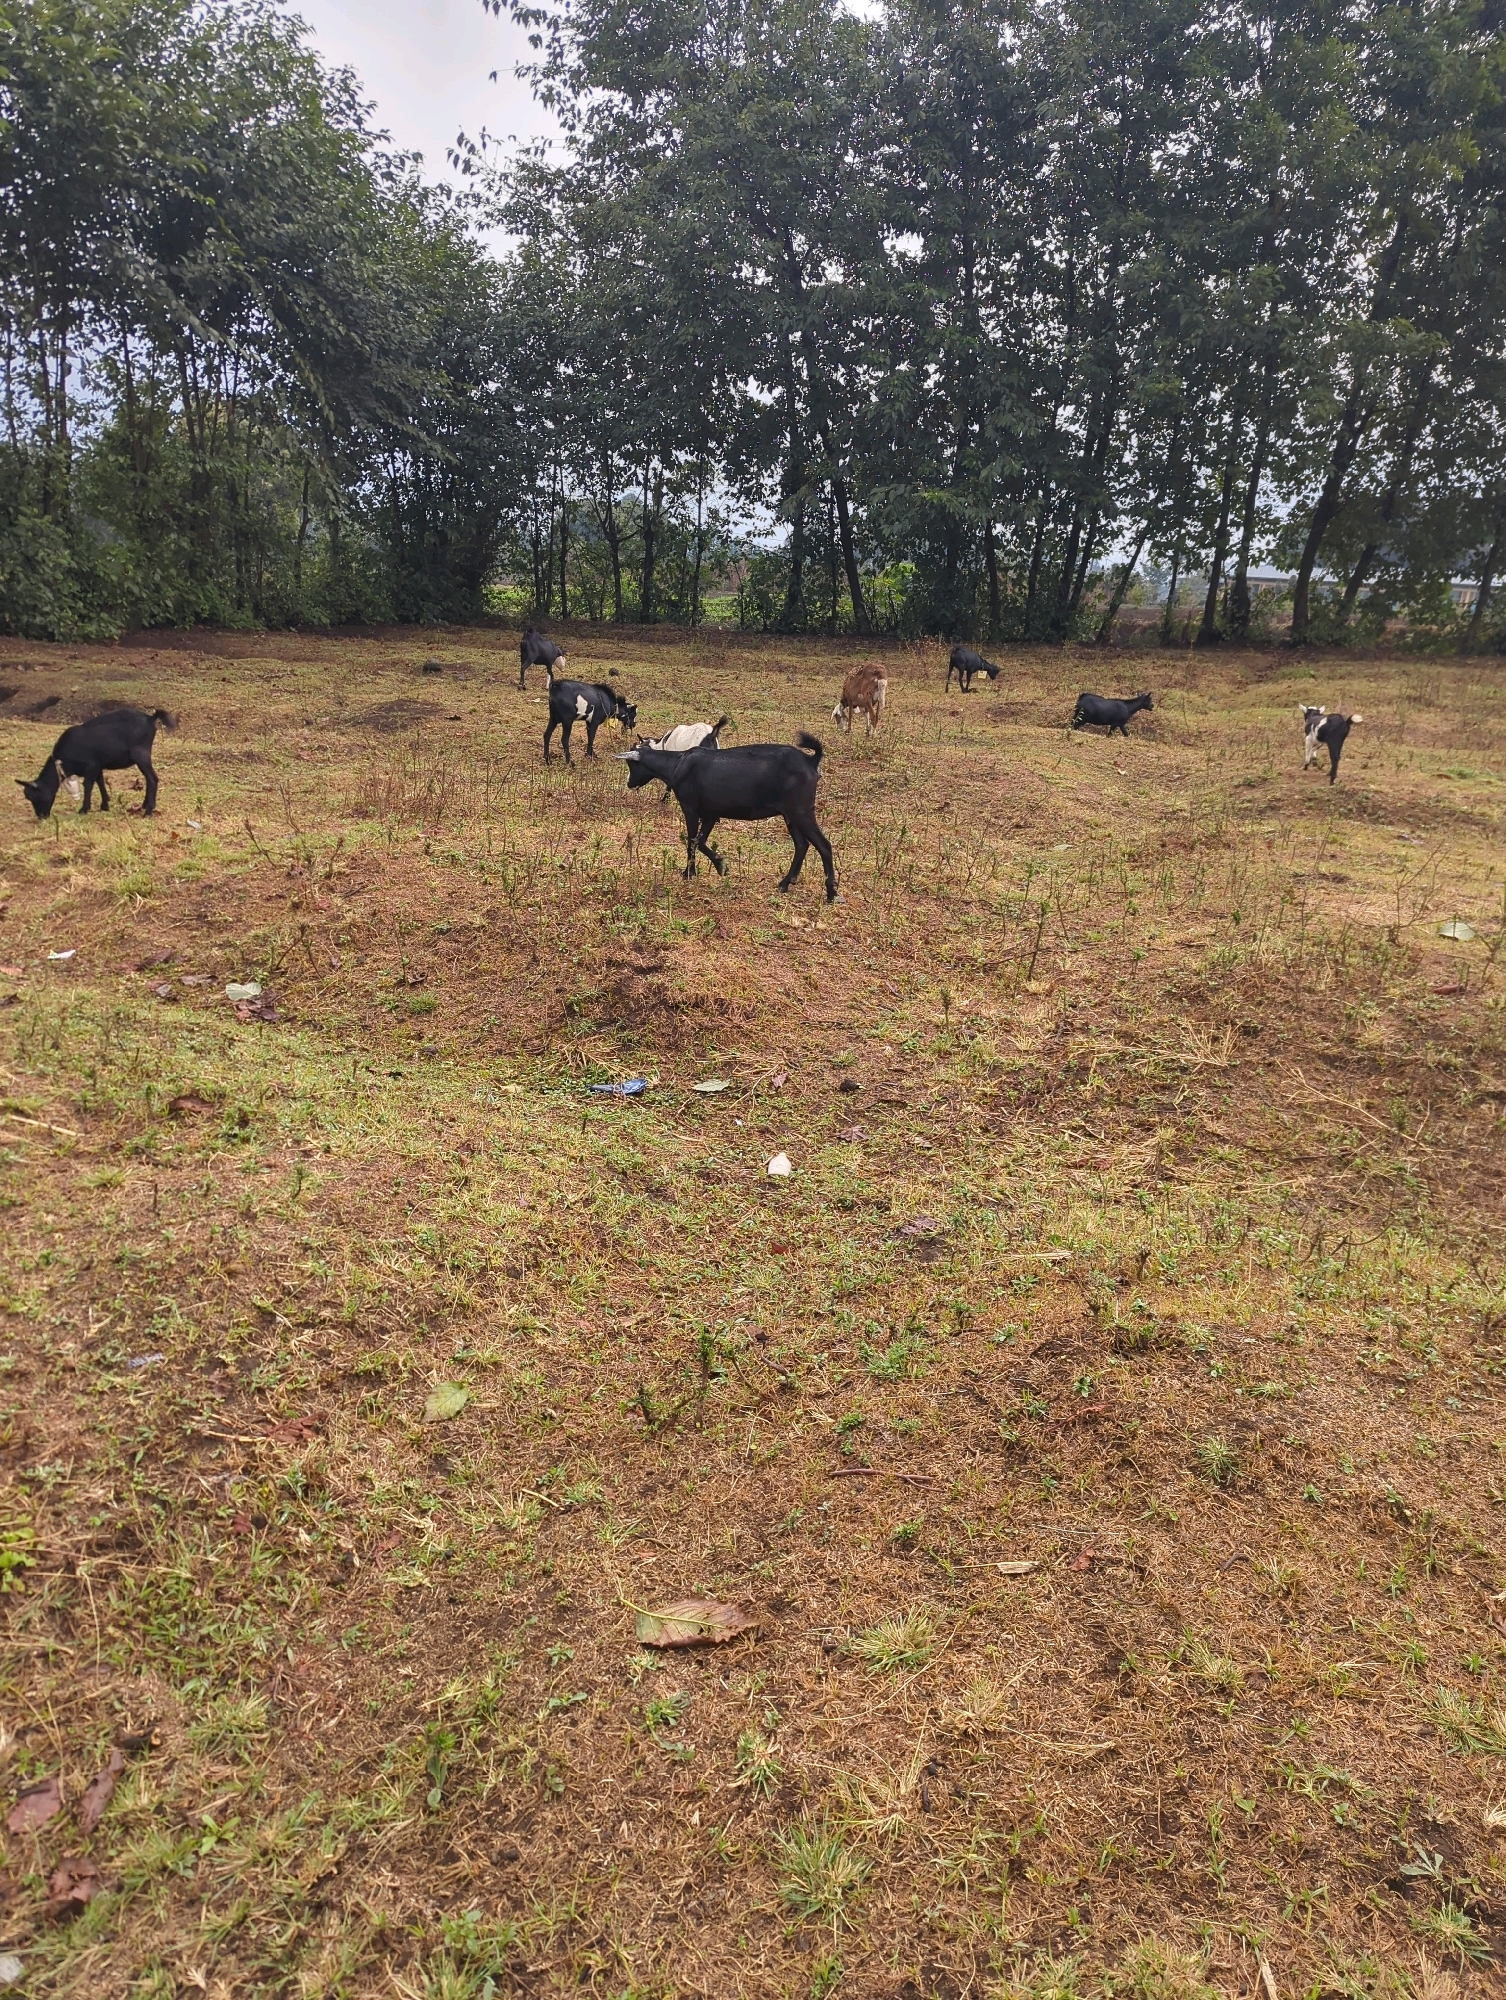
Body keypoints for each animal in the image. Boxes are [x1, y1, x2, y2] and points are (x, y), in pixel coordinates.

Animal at [17, 708, 174, 819]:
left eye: (33, 796)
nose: (41, 816)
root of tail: (150, 718)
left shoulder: (90, 765)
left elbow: (88, 785)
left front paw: (84, 809)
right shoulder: (97, 766)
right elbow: (100, 782)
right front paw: (105, 805)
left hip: (141, 754)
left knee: (152, 779)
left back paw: (148, 811)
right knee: (149, 779)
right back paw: (144, 805)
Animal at [618, 734, 836, 901]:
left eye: (631, 764)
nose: (629, 783)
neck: (678, 765)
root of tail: (811, 761)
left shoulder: (691, 809)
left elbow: (692, 841)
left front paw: (697, 871)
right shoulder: (710, 814)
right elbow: (700, 841)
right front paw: (716, 866)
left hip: (801, 811)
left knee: (823, 845)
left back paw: (831, 892)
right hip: (790, 815)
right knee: (802, 845)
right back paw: (785, 883)